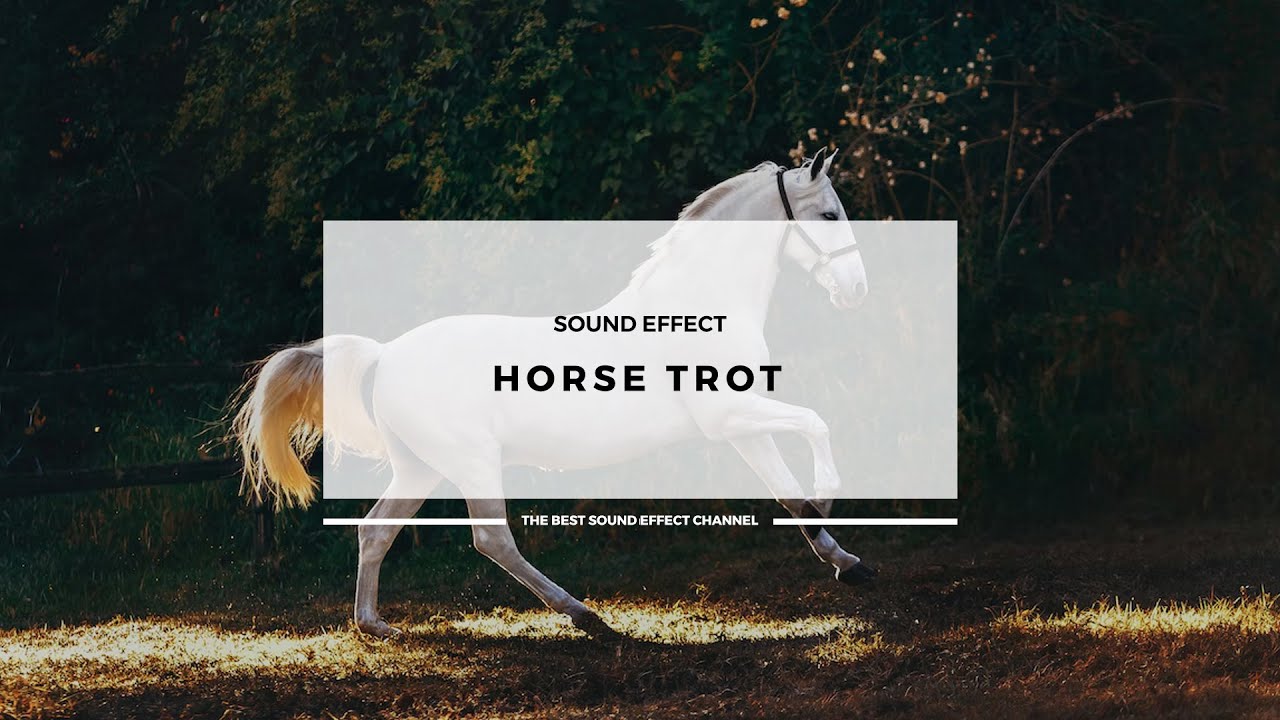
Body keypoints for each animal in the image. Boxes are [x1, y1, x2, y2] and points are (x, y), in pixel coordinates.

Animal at [232, 148, 876, 638]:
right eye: (826, 214)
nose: (856, 291)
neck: (696, 306)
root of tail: (387, 356)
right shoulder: (733, 413)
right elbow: (816, 428)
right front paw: (830, 500)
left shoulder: (740, 423)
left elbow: (787, 492)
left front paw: (848, 564)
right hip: (471, 461)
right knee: (491, 539)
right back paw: (587, 618)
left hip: (421, 468)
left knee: (376, 530)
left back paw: (375, 626)